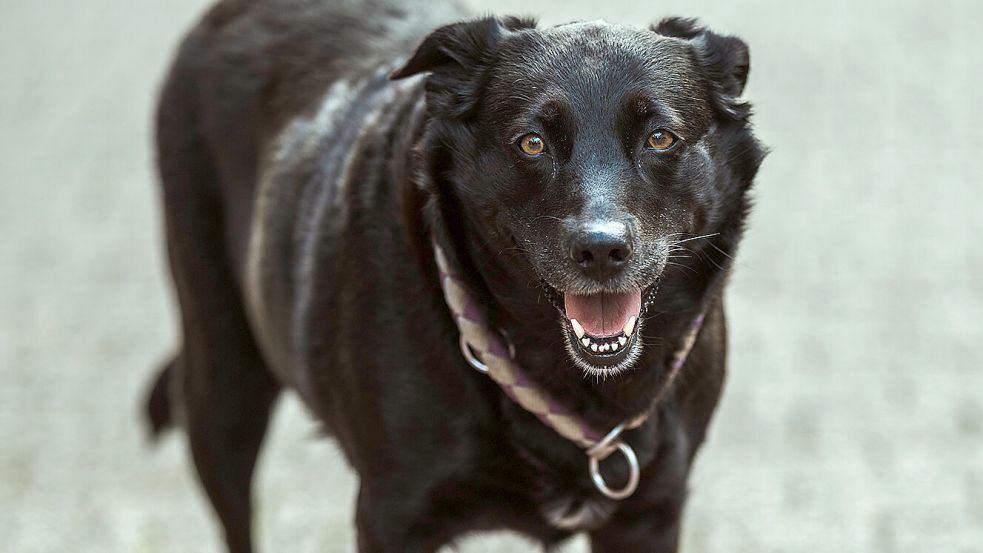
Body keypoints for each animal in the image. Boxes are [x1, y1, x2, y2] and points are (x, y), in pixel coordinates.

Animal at [142, 1, 764, 548]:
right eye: (532, 143)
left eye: (661, 137)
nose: (601, 250)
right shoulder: (394, 517)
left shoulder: (648, 515)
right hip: (222, 387)